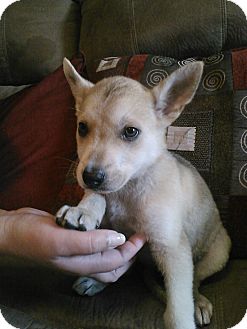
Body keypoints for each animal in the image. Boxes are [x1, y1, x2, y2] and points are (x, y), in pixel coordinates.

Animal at [56, 59, 232, 328]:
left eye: (131, 132)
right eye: (82, 128)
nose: (90, 178)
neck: (128, 190)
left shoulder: (172, 249)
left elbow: (178, 308)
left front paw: (184, 317)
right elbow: (97, 197)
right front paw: (83, 210)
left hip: (217, 252)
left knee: (194, 282)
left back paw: (199, 303)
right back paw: (95, 281)